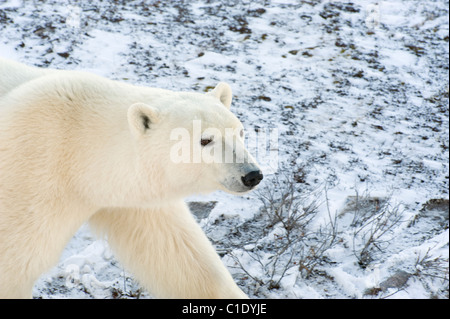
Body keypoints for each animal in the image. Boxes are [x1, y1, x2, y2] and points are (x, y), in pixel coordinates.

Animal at [0, 58, 262, 300]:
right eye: (205, 140)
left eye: (239, 132)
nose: (252, 175)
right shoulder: (31, 176)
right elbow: (13, 264)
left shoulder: (134, 196)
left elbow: (181, 256)